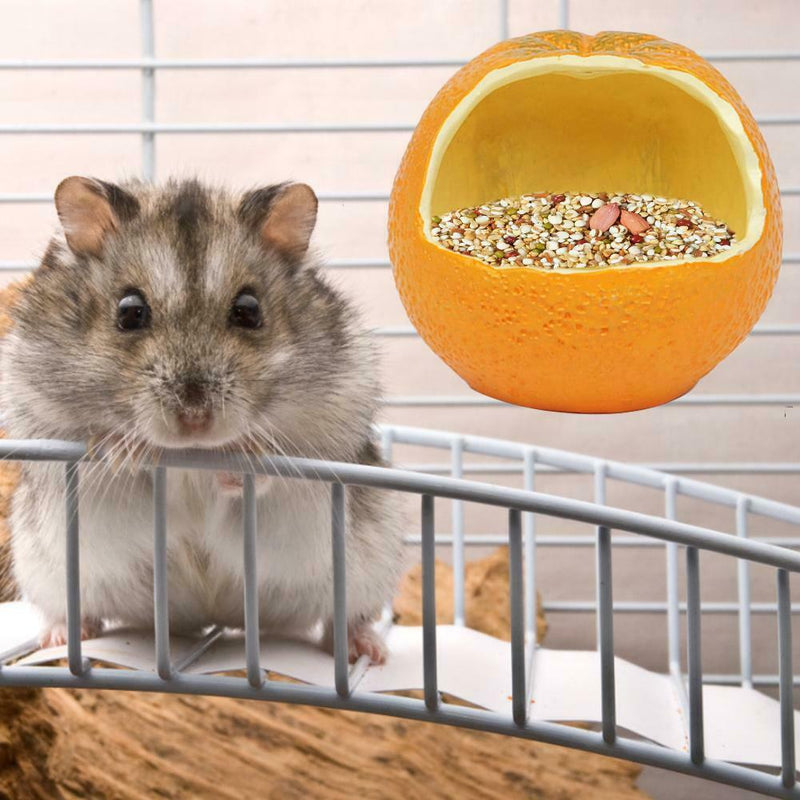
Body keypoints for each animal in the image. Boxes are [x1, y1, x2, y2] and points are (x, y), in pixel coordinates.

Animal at [1, 176, 406, 664]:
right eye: (129, 311)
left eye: (249, 310)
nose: (195, 419)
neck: (192, 455)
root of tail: (214, 620)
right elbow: (110, 460)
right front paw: (124, 449)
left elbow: (270, 473)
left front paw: (241, 454)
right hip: (45, 570)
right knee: (73, 611)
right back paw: (61, 636)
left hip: (369, 569)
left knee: (343, 620)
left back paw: (366, 650)